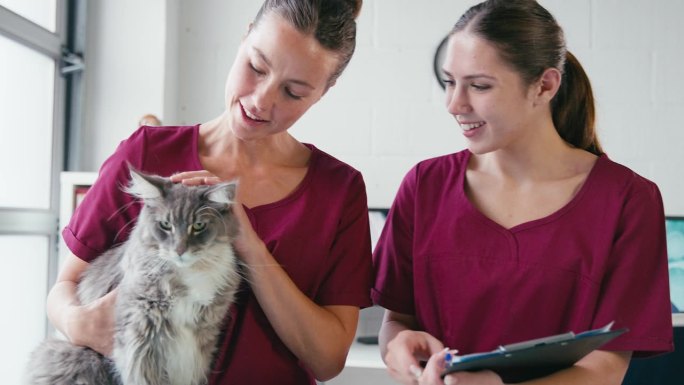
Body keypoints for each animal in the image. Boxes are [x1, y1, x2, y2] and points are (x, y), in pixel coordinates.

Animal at [24, 169, 243, 384]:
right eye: (166, 225)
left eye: (198, 226)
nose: (180, 250)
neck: (190, 275)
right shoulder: (142, 337)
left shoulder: (201, 344)